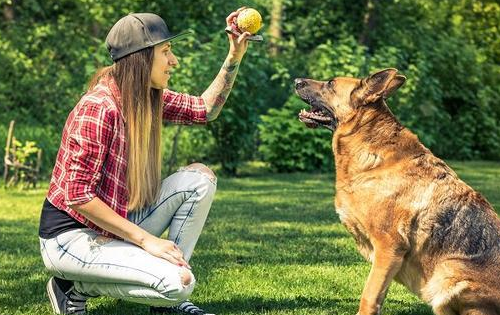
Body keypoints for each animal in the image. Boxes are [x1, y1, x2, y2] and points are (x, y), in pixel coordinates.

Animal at [292, 69, 500, 315]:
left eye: (331, 84)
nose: (296, 81)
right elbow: (377, 295)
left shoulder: (388, 247)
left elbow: (369, 295)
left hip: (447, 273)